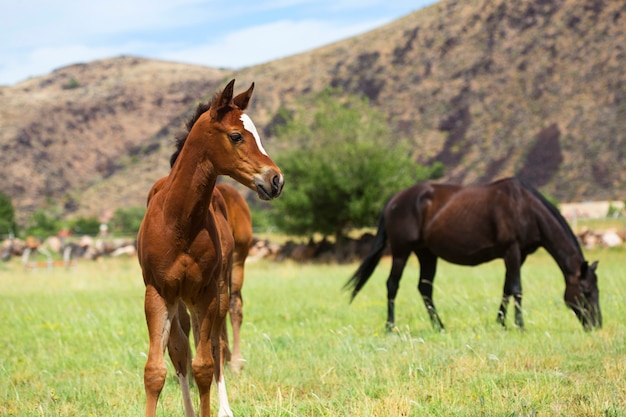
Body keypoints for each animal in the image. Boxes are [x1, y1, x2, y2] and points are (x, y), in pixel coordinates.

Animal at [138, 80, 282, 416]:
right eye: (236, 135)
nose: (276, 179)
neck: (178, 222)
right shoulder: (158, 292)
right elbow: (157, 368)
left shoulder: (205, 293)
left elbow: (204, 364)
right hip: (182, 299)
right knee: (182, 347)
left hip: (225, 281)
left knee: (220, 337)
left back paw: (226, 399)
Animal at [346, 178, 600, 332]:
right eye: (586, 292)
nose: (597, 324)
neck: (524, 208)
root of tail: (394, 201)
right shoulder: (512, 250)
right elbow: (517, 288)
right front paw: (520, 325)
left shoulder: (519, 255)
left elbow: (507, 289)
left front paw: (501, 323)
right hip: (401, 251)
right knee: (392, 285)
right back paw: (390, 327)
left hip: (426, 253)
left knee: (424, 288)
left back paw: (439, 326)